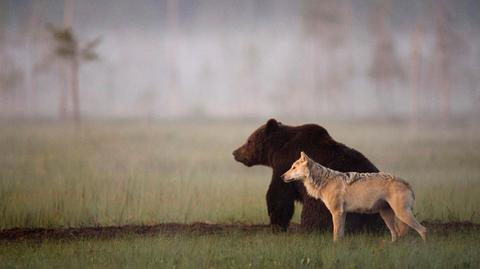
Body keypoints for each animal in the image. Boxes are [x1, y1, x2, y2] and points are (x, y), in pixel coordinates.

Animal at [232, 118, 382, 231]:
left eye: (249, 141)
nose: (235, 152)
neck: (277, 149)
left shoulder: (285, 164)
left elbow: (279, 195)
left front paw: (277, 224)